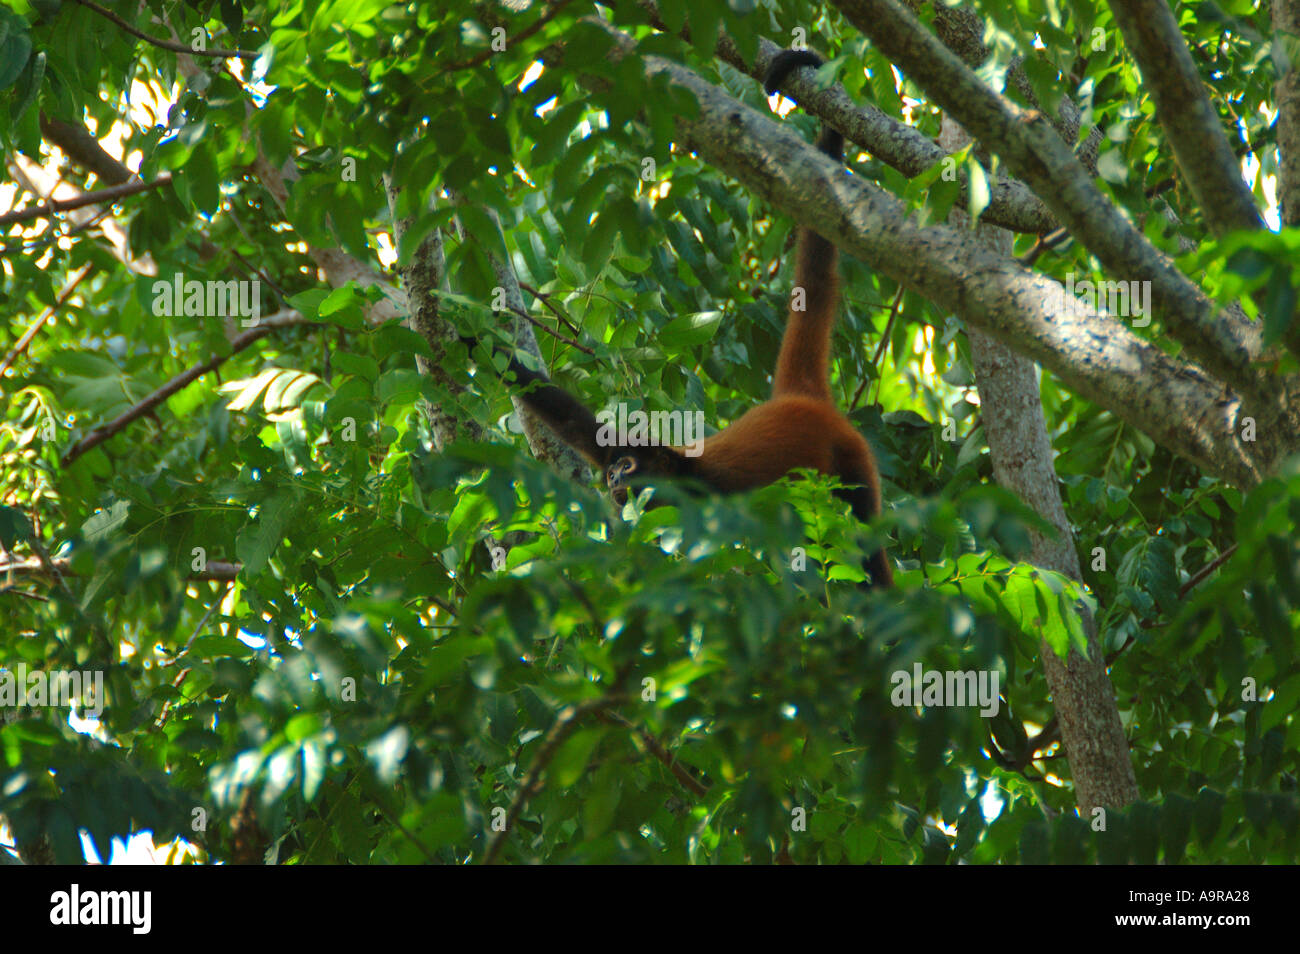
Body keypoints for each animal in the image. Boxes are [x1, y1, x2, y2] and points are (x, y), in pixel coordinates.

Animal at [467, 54, 894, 590]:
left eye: (627, 467)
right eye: (613, 468)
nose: (613, 477)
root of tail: (800, 399)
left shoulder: (712, 490)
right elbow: (566, 415)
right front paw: (466, 337)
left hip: (852, 458)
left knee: (866, 539)